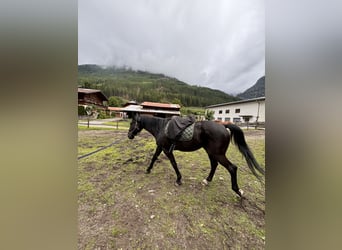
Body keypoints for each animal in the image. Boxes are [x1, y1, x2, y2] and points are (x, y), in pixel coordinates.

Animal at [128, 113, 264, 197]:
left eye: (132, 123)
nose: (129, 136)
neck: (160, 127)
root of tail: (223, 126)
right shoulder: (161, 147)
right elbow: (154, 158)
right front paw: (148, 170)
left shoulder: (167, 150)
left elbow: (173, 163)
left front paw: (178, 179)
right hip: (211, 152)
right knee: (214, 165)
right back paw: (207, 180)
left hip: (218, 154)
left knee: (232, 168)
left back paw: (238, 191)